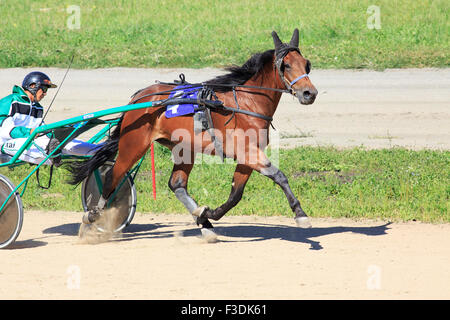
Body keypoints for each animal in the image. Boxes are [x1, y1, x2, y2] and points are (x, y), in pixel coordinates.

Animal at [68, 28, 318, 239]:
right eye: (286, 65)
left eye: (306, 64)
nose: (309, 93)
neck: (246, 102)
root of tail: (139, 98)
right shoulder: (247, 152)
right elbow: (279, 175)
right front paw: (300, 214)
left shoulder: (248, 156)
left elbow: (235, 194)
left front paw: (209, 214)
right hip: (134, 144)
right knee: (113, 177)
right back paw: (92, 217)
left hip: (183, 148)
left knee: (177, 184)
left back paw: (204, 223)